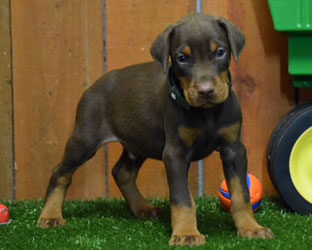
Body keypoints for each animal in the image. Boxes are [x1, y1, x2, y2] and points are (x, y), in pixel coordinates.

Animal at [37, 13, 274, 246]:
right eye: (182, 58)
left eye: (220, 52)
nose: (206, 91)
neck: (206, 114)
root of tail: (93, 85)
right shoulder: (175, 153)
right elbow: (182, 198)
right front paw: (186, 233)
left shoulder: (233, 148)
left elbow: (241, 193)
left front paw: (251, 228)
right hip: (85, 140)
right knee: (60, 172)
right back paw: (50, 215)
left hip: (138, 144)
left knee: (122, 172)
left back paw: (143, 209)